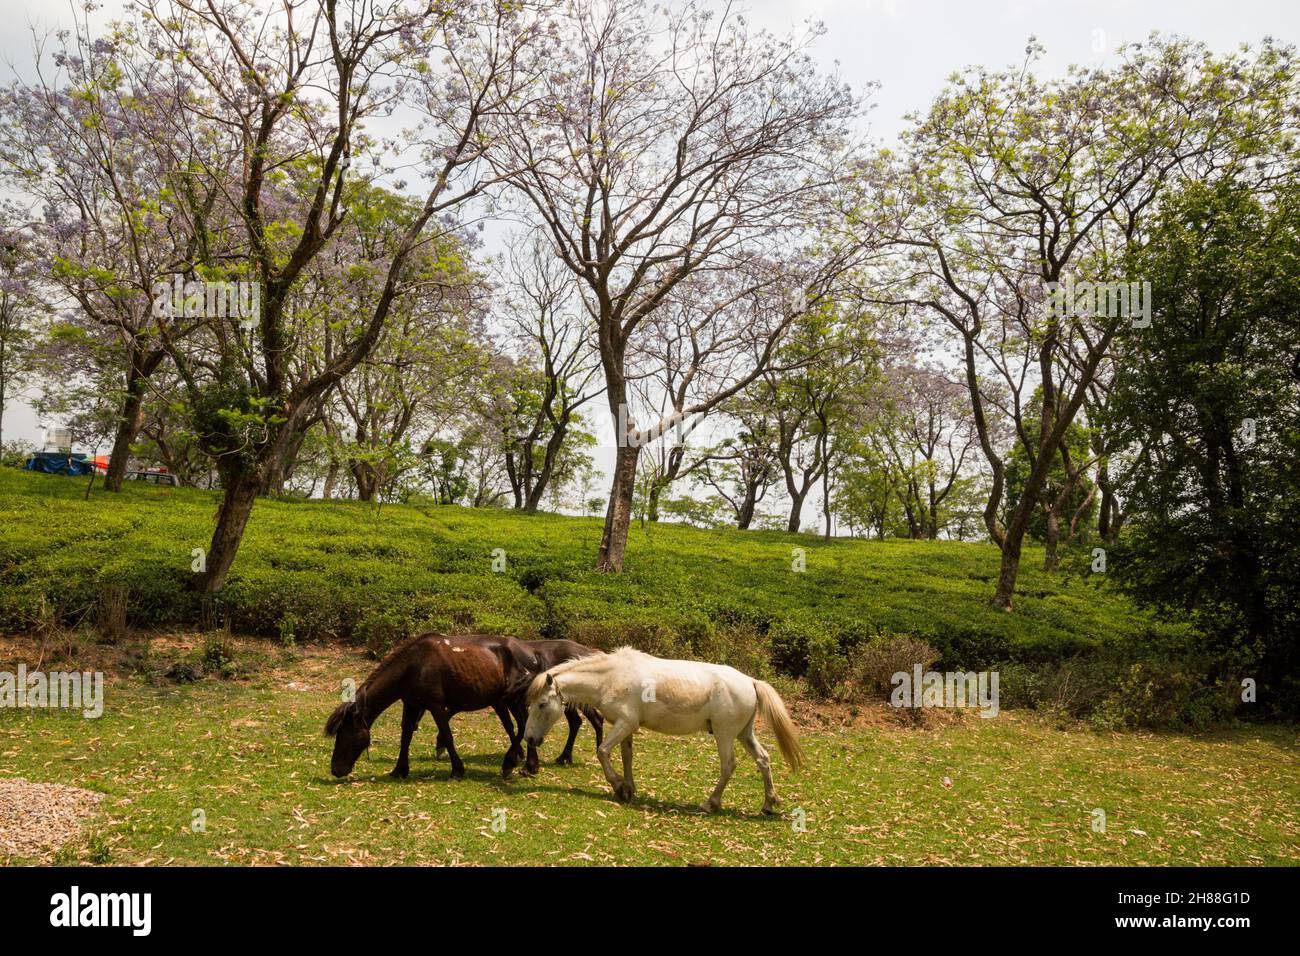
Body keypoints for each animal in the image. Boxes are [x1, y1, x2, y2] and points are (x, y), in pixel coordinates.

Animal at [324, 633, 602, 781]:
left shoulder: (436, 706)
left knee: (525, 728)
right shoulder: (411, 704)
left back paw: (514, 764)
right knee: (525, 727)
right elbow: (406, 736)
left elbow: (447, 735)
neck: (414, 665)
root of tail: (533, 654)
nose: (336, 770)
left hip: (514, 699)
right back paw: (528, 764)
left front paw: (457, 769)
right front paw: (400, 769)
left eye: (345, 734)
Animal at [524, 647, 804, 814]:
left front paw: (617, 785)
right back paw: (768, 803)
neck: (611, 678)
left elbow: (602, 751)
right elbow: (627, 757)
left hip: (724, 735)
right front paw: (628, 789)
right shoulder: (625, 727)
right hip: (744, 734)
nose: (529, 738)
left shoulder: (626, 724)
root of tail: (751, 681)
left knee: (729, 766)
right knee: (763, 759)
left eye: (541, 704)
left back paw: (710, 803)